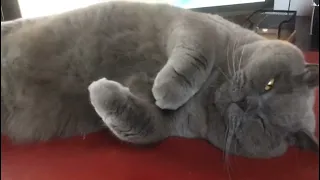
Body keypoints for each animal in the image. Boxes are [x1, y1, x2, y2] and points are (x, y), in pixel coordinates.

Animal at [1, 1, 318, 159]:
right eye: (270, 83)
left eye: (262, 123)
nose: (245, 102)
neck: (210, 91)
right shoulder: (197, 26)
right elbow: (196, 57)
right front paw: (168, 90)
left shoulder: (169, 127)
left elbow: (145, 126)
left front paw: (100, 89)